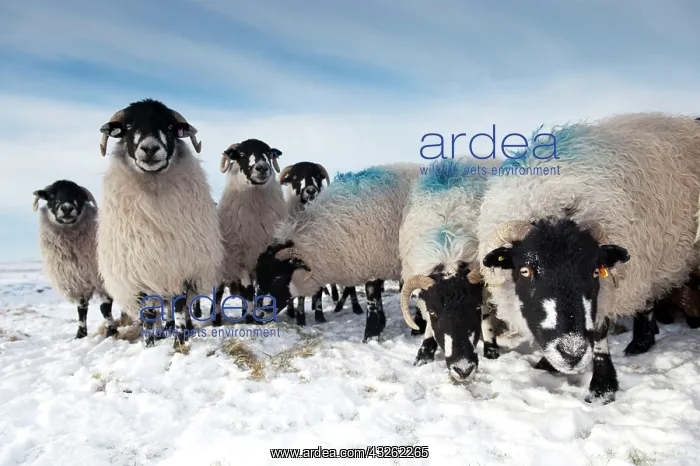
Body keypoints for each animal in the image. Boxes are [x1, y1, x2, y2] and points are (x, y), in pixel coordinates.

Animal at [33, 179, 119, 339]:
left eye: (78, 195)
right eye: (52, 194)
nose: (67, 208)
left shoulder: (102, 278)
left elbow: (105, 307)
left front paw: (111, 331)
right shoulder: (77, 280)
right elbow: (81, 309)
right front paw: (80, 334)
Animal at [96, 98, 223, 348]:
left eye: (169, 127)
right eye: (128, 126)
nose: (150, 148)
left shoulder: (182, 267)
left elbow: (181, 306)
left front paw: (180, 341)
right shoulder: (140, 275)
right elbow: (148, 315)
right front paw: (149, 344)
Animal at [211, 138, 287, 326]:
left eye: (269, 153)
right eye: (242, 154)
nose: (262, 168)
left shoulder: (265, 257)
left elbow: (261, 290)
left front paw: (255, 316)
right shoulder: (240, 260)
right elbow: (248, 291)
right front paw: (250, 318)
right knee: (217, 294)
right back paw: (217, 320)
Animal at [398, 158, 498, 381]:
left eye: (475, 307)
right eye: (434, 311)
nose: (463, 369)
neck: (448, 250)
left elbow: (487, 316)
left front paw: (491, 349)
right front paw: (424, 354)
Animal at [474, 112, 700, 403]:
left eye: (594, 271)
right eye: (525, 270)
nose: (571, 354)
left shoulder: (607, 293)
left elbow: (600, 334)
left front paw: (603, 387)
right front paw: (548, 364)